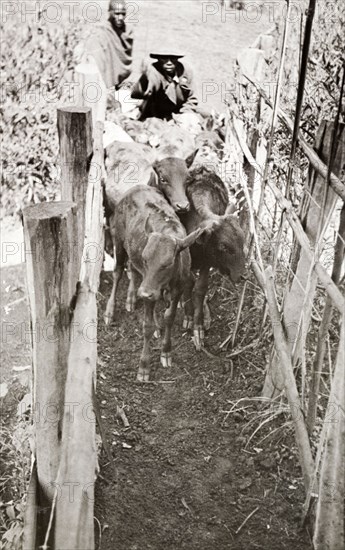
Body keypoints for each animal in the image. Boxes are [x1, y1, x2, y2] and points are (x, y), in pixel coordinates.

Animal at [179, 166, 246, 352]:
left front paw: (199, 326)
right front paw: (188, 315)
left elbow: (200, 288)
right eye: (223, 246)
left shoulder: (207, 262)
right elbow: (187, 283)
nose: (243, 276)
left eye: (243, 242)